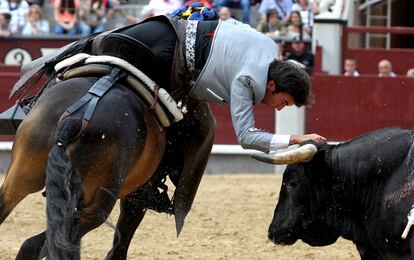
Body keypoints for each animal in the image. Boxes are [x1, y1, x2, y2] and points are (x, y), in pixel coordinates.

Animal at [0, 70, 215, 258]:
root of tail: (75, 119)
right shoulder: (137, 196)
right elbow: (122, 239)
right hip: (95, 208)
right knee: (38, 244)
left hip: (22, 176)